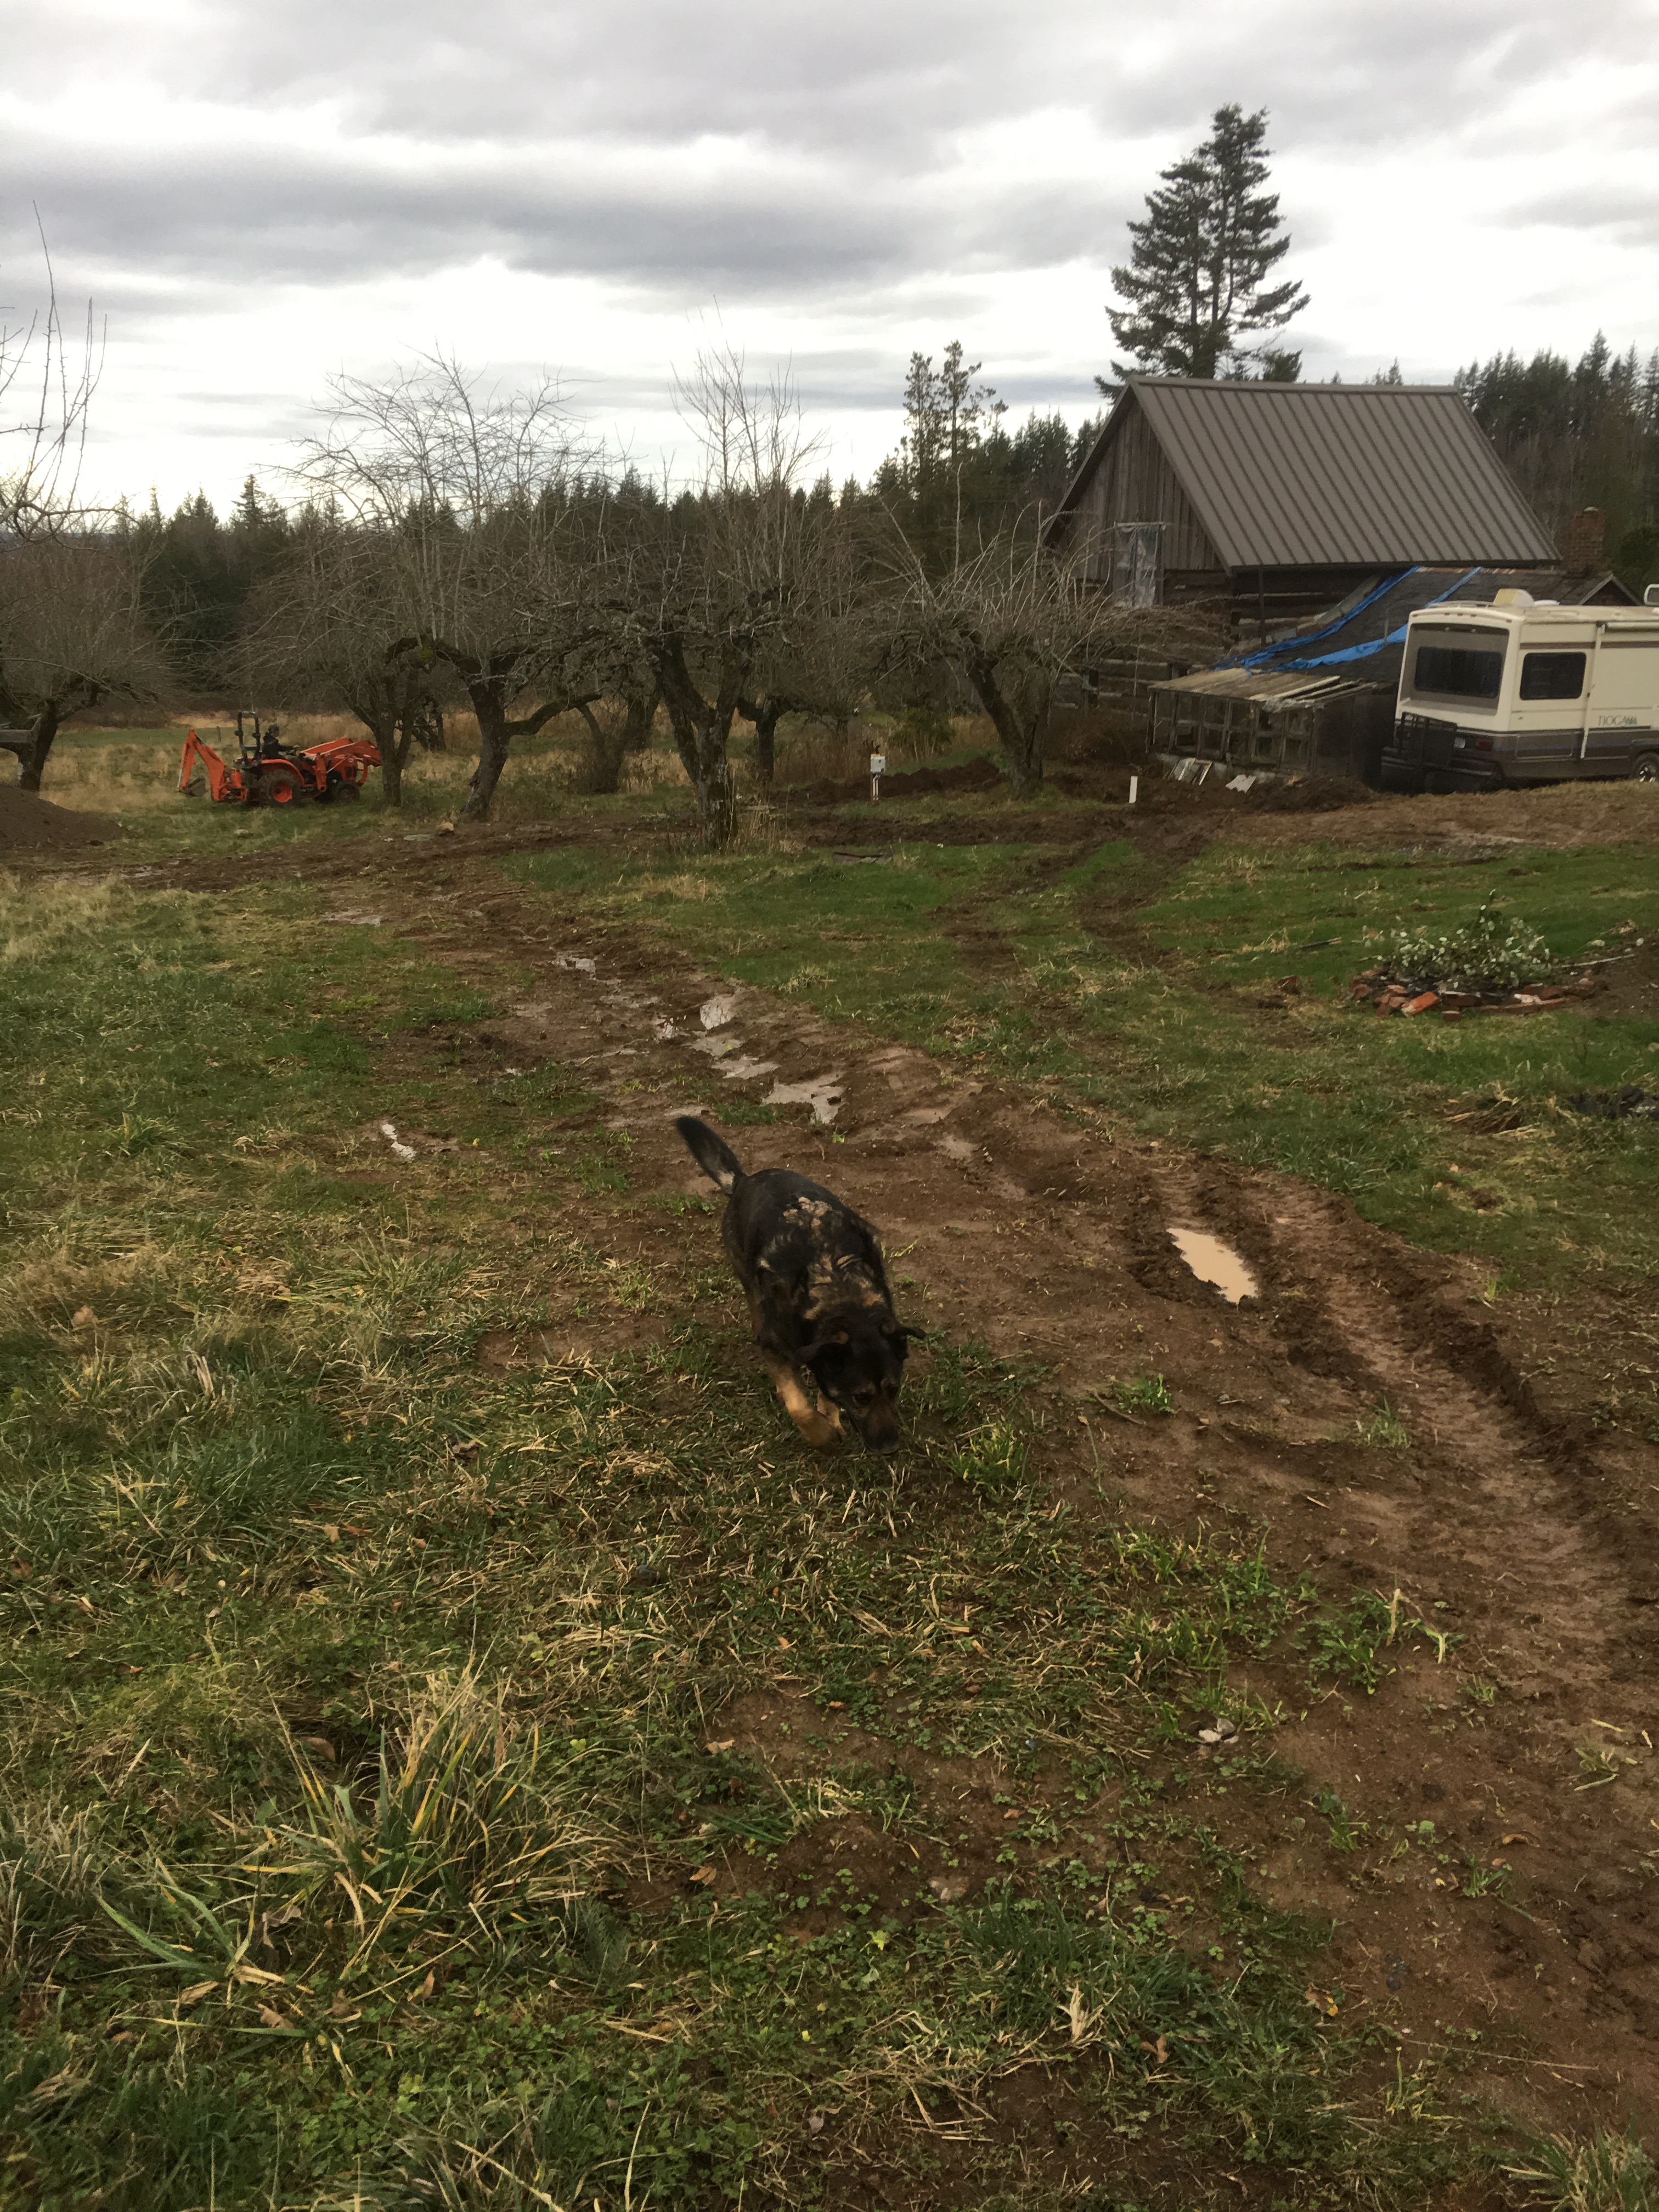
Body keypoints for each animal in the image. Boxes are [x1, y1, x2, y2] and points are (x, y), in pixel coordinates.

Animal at [674, 1115, 921, 1451]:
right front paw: (820, 1434)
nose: (890, 1447)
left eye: (894, 1390)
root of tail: (744, 1181)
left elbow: (825, 1388)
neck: (839, 1290)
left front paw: (830, 1416)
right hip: (750, 1283)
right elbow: (798, 1404)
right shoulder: (777, 1344)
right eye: (862, 1397)